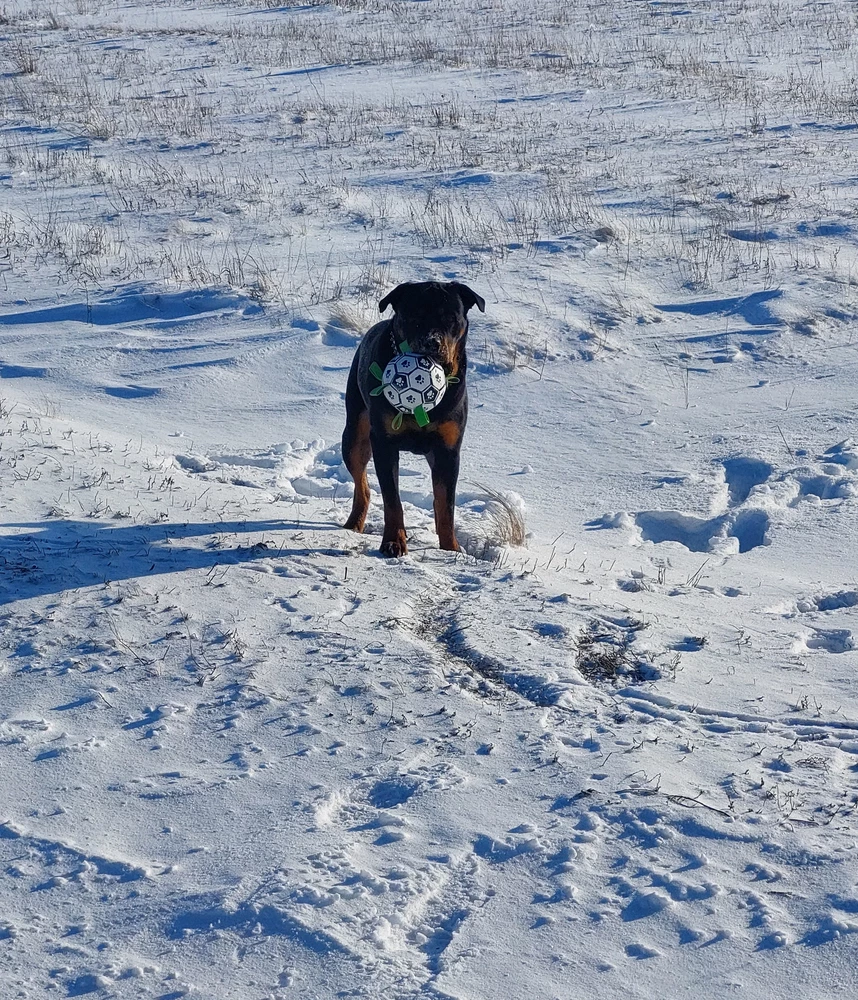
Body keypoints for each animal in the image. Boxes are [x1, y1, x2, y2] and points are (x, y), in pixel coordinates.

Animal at [342, 282, 488, 560]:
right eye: (414, 317)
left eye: (451, 318)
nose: (432, 342)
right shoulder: (384, 443)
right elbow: (392, 499)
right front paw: (393, 541)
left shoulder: (448, 449)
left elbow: (446, 503)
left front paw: (450, 548)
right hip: (354, 434)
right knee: (362, 483)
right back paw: (354, 523)